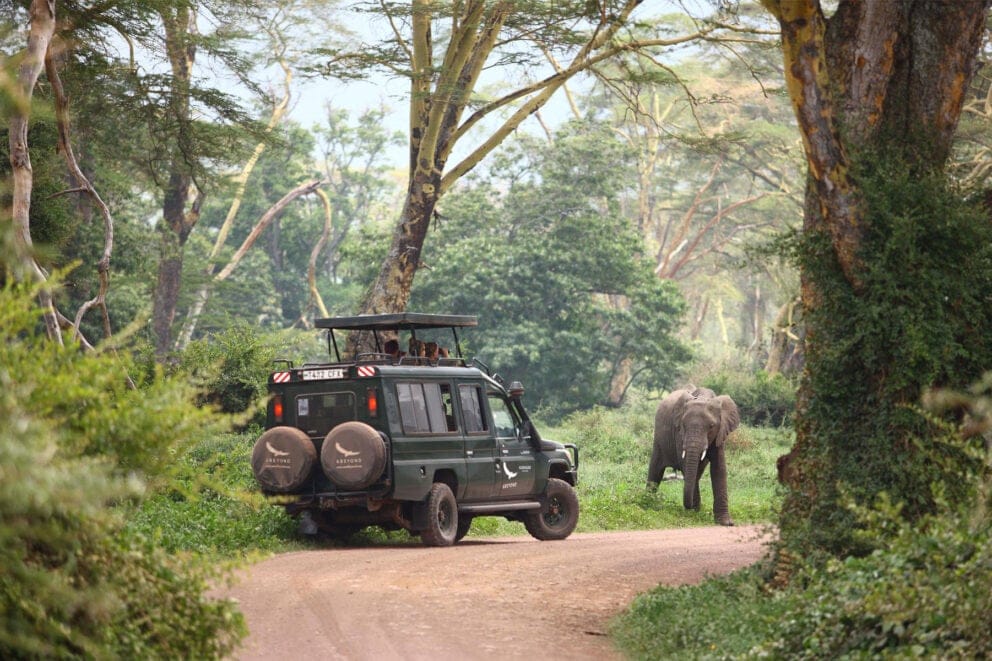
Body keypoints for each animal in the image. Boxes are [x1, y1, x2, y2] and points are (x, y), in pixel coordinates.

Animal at [647, 388, 740, 526]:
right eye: (683, 425)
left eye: (711, 426)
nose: (689, 507)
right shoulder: (679, 435)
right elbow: (686, 466)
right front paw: (694, 514)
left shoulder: (720, 434)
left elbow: (719, 469)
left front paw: (726, 523)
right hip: (659, 438)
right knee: (655, 470)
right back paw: (647, 501)